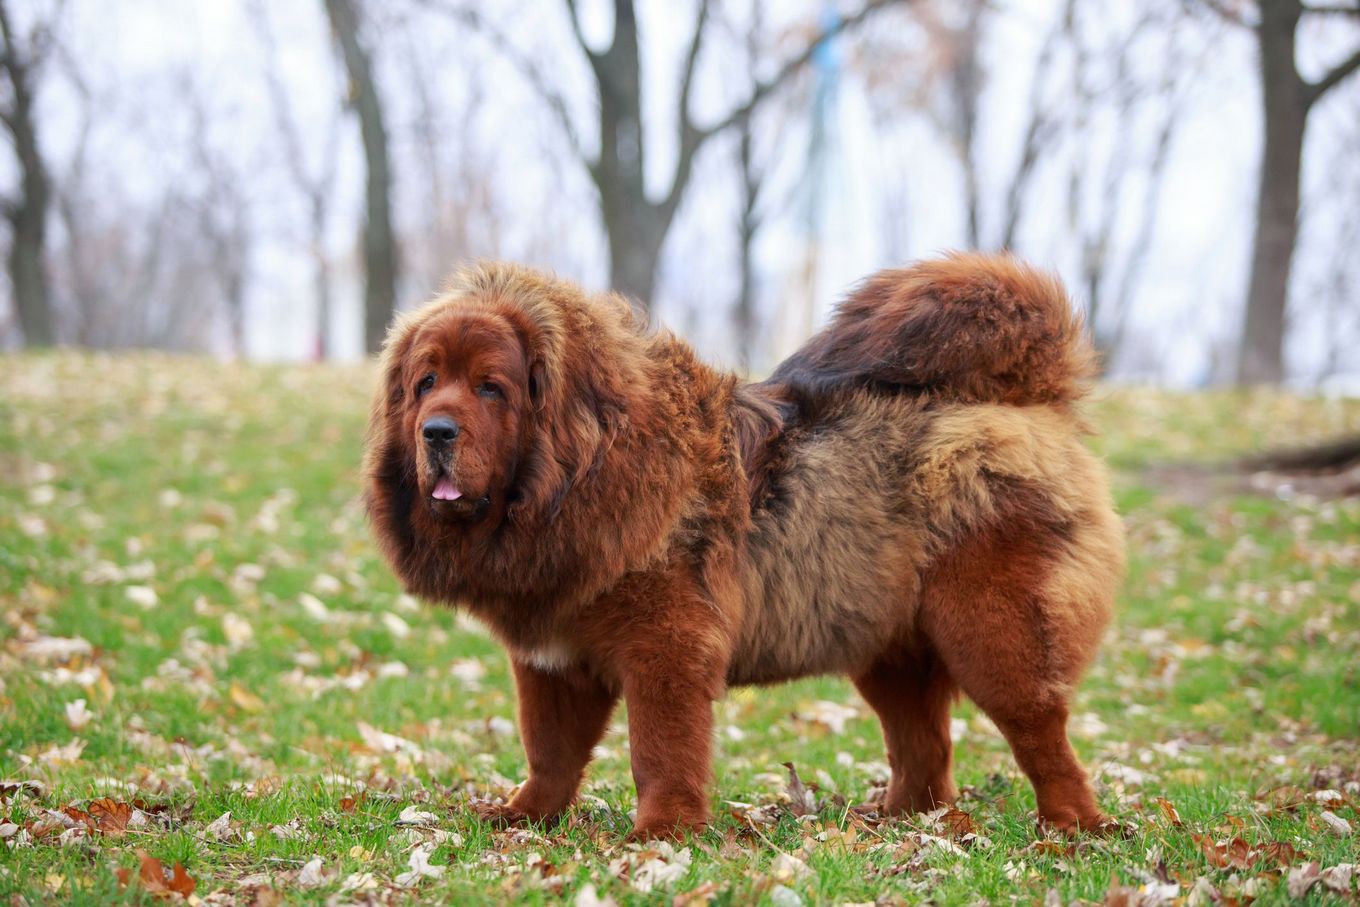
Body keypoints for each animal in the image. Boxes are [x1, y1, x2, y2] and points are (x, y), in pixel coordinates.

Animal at [364, 251, 1126, 843]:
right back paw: (898, 821)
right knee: (926, 750)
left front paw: (662, 832)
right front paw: (523, 817)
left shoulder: (665, 646)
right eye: (426, 383)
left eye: (491, 388)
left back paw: (1073, 828)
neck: (579, 475)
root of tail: (1032, 401)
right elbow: (549, 750)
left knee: (1040, 733)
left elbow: (660, 748)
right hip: (889, 647)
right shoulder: (551, 659)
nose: (436, 431)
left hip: (991, 632)